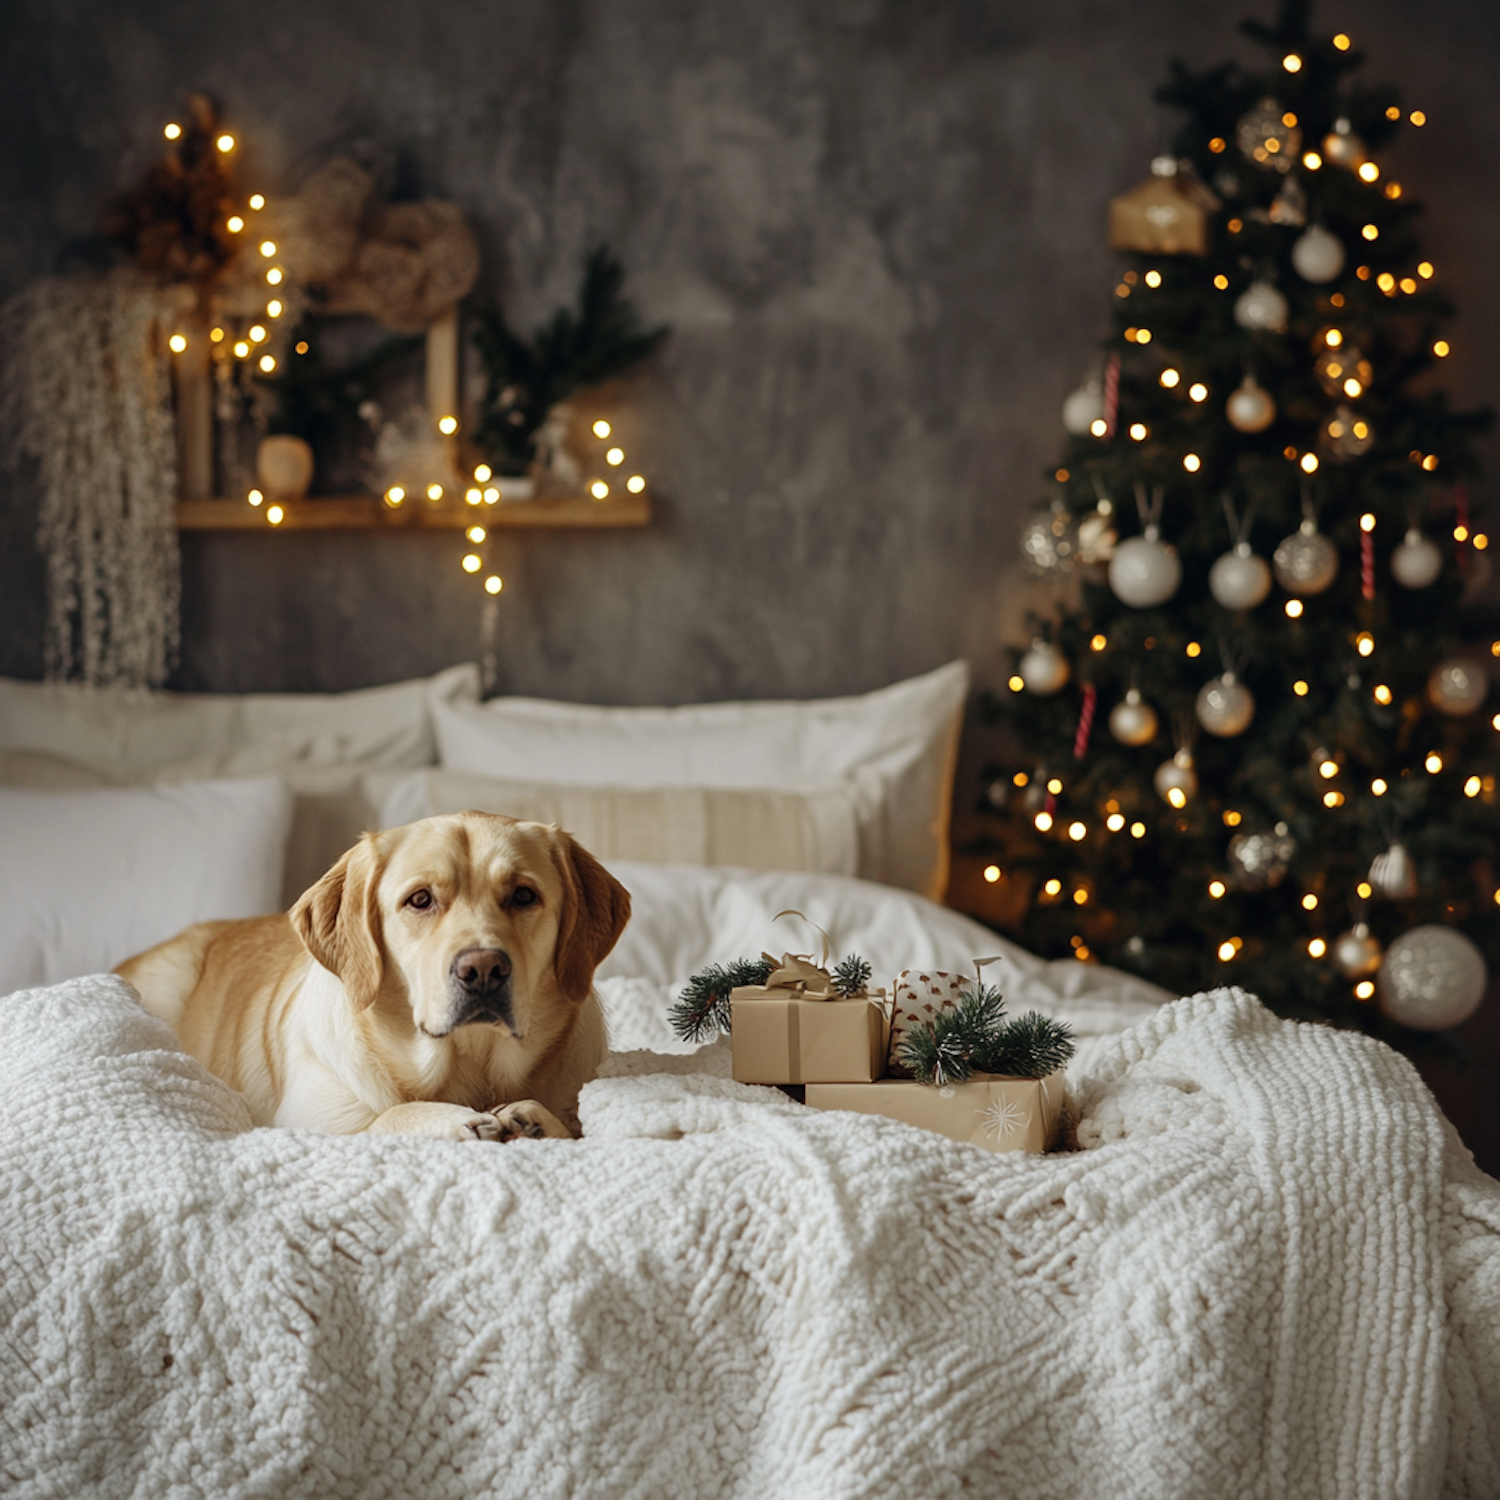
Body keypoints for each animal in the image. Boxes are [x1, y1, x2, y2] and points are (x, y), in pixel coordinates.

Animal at [117, 816, 630, 1140]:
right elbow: (382, 1121)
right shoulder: (302, 1125)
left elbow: (580, 1133)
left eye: (524, 895)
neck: (469, 1067)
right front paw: (450, 1120)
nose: (483, 969)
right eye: (420, 899)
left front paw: (536, 1120)